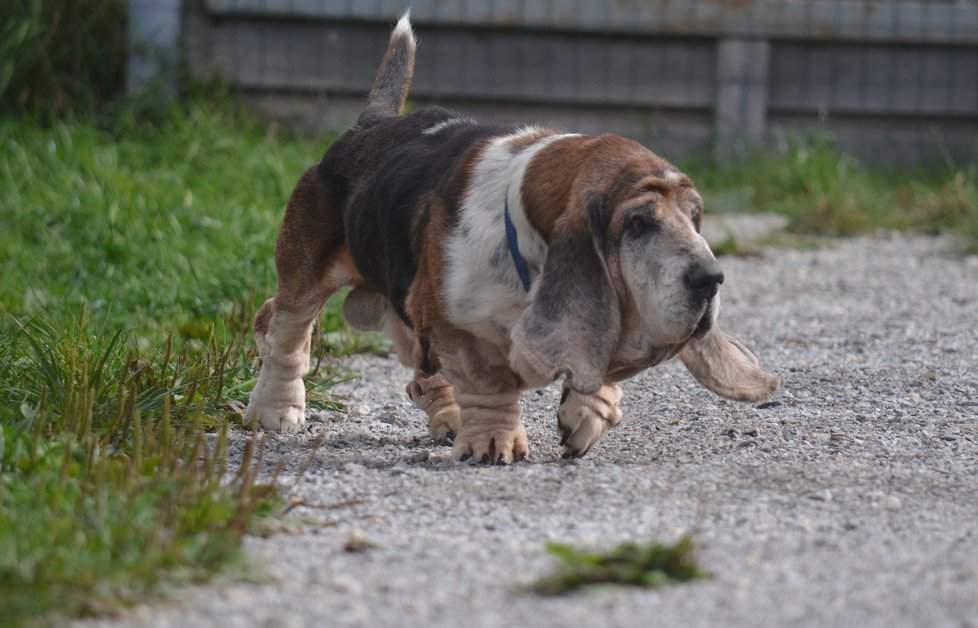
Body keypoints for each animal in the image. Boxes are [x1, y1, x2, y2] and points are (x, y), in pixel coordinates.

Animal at [244, 14, 776, 464]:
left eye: (694, 216)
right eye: (639, 223)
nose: (710, 278)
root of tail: (371, 125)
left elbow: (597, 367)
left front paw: (584, 417)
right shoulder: (460, 324)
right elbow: (490, 385)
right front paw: (491, 443)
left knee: (420, 369)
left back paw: (448, 418)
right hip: (310, 270)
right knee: (283, 327)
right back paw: (276, 410)